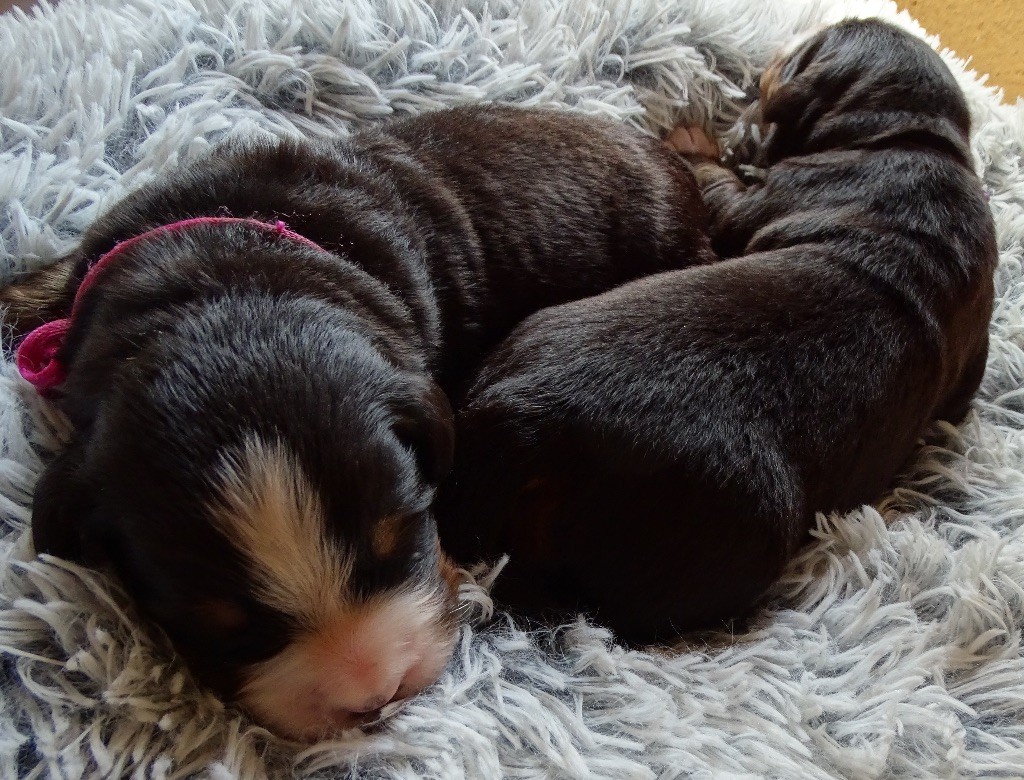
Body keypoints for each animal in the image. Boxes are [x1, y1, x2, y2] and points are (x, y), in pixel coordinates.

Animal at [436, 19, 995, 642]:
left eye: (801, 53)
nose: (771, 58)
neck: (911, 138)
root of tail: (526, 414)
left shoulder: (764, 194)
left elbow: (722, 186)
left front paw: (696, 139)